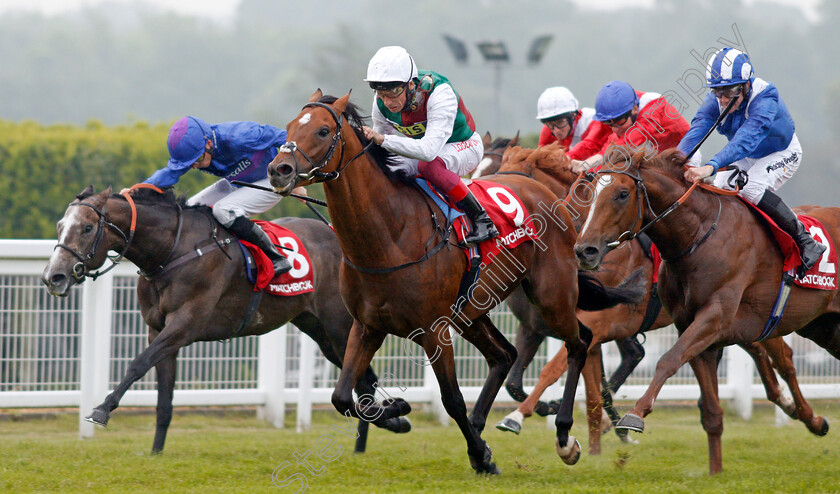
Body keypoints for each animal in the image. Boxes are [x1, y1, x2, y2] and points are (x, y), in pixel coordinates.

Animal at [42, 186, 410, 456]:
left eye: (87, 227)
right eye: (60, 226)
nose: (53, 277)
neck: (172, 251)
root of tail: (340, 237)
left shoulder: (184, 325)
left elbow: (137, 364)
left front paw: (102, 409)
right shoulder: (158, 329)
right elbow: (164, 397)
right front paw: (156, 453)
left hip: (338, 325)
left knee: (362, 378)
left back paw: (388, 421)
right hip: (317, 328)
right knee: (361, 378)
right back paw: (378, 431)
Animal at [270, 92, 644, 474]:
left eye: (322, 130)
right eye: (289, 127)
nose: (279, 169)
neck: (389, 234)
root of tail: (551, 198)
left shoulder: (434, 330)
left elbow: (451, 399)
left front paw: (480, 454)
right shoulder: (366, 325)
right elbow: (343, 396)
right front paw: (398, 409)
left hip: (551, 295)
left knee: (579, 343)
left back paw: (564, 435)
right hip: (472, 311)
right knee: (506, 355)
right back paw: (484, 428)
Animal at [572, 148, 840, 474]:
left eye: (622, 194)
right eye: (590, 193)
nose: (585, 250)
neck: (697, 236)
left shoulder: (715, 317)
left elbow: (667, 360)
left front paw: (634, 415)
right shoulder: (693, 326)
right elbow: (710, 408)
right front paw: (715, 471)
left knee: (784, 361)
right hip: (822, 327)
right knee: (784, 360)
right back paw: (812, 419)